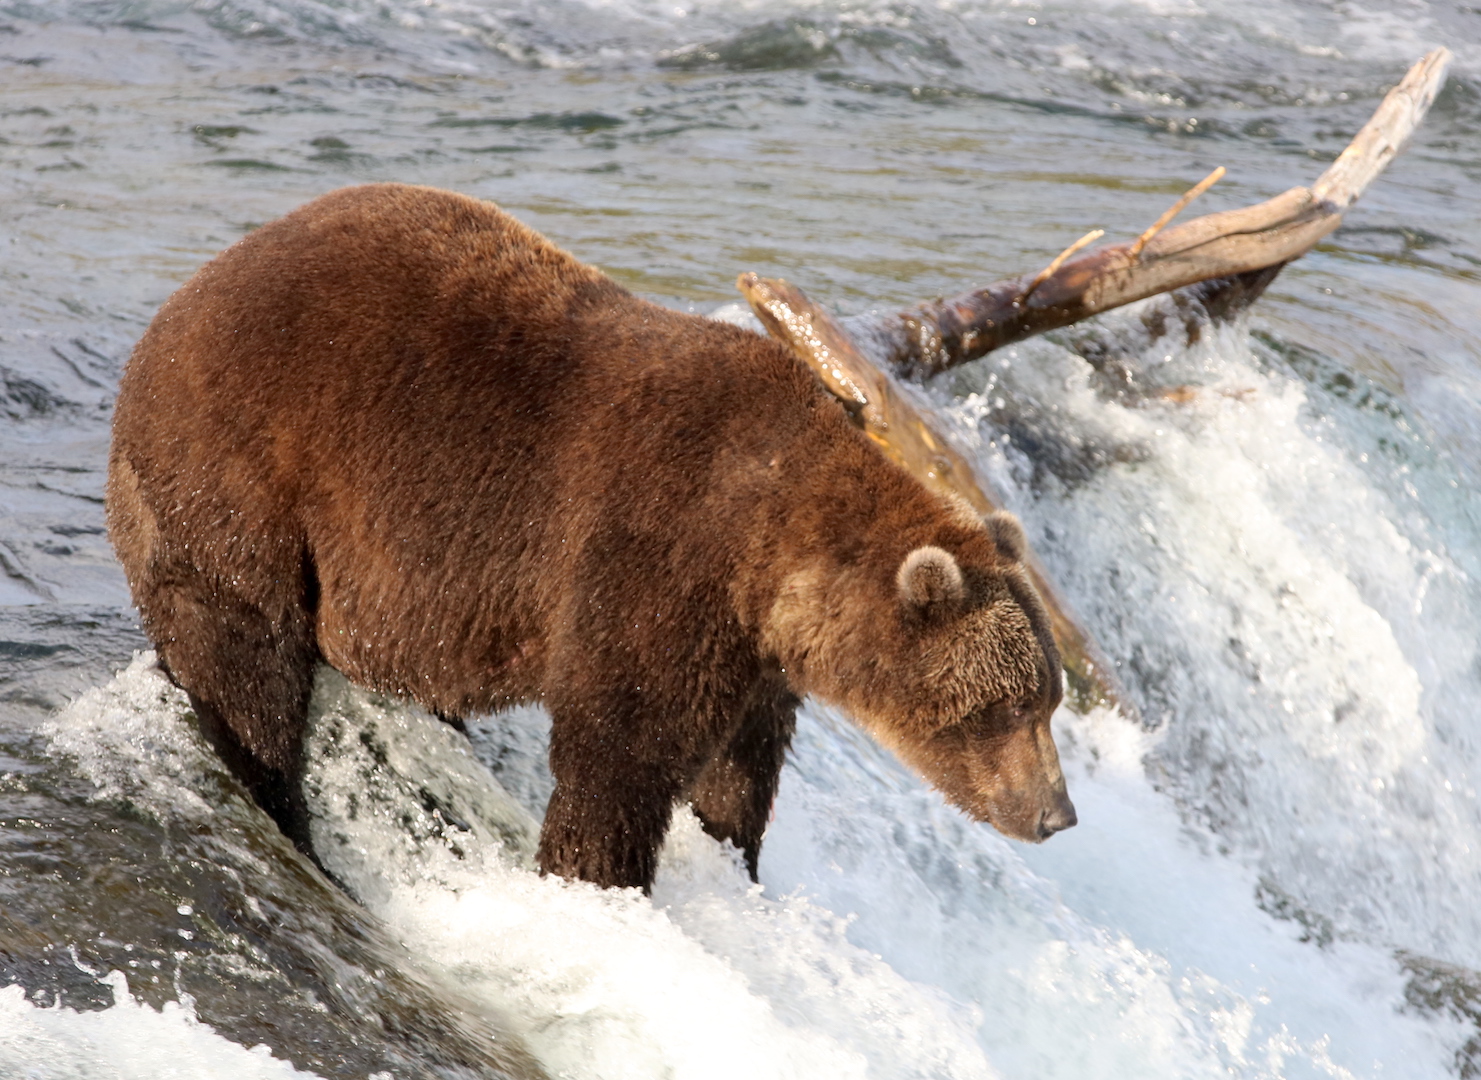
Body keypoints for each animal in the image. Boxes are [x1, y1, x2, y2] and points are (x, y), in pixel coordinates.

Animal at [106, 182, 1076, 891]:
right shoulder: (655, 552)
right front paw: (596, 880)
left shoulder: (751, 646)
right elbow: (619, 749)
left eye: (1046, 699)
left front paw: (729, 848)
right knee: (246, 660)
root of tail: (171, 311)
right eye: (1002, 708)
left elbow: (740, 761)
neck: (771, 548)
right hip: (244, 477)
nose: (1055, 815)